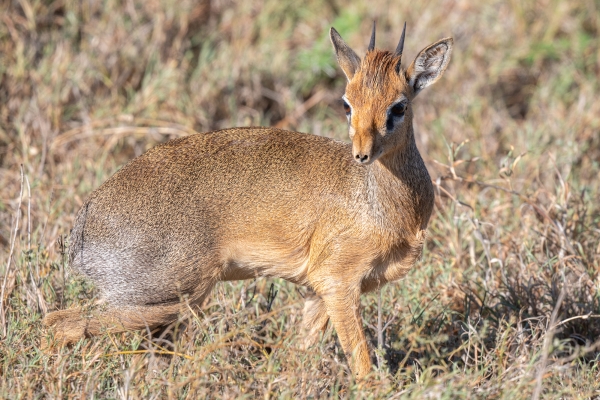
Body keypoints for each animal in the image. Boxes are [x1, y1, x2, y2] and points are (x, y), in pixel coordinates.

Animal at [45, 21, 450, 378]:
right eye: (347, 104)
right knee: (60, 322)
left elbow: (296, 359)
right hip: (167, 298)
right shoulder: (338, 283)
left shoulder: (318, 293)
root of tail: (82, 232)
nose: (362, 154)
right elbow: (362, 364)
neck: (387, 205)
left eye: (399, 106)